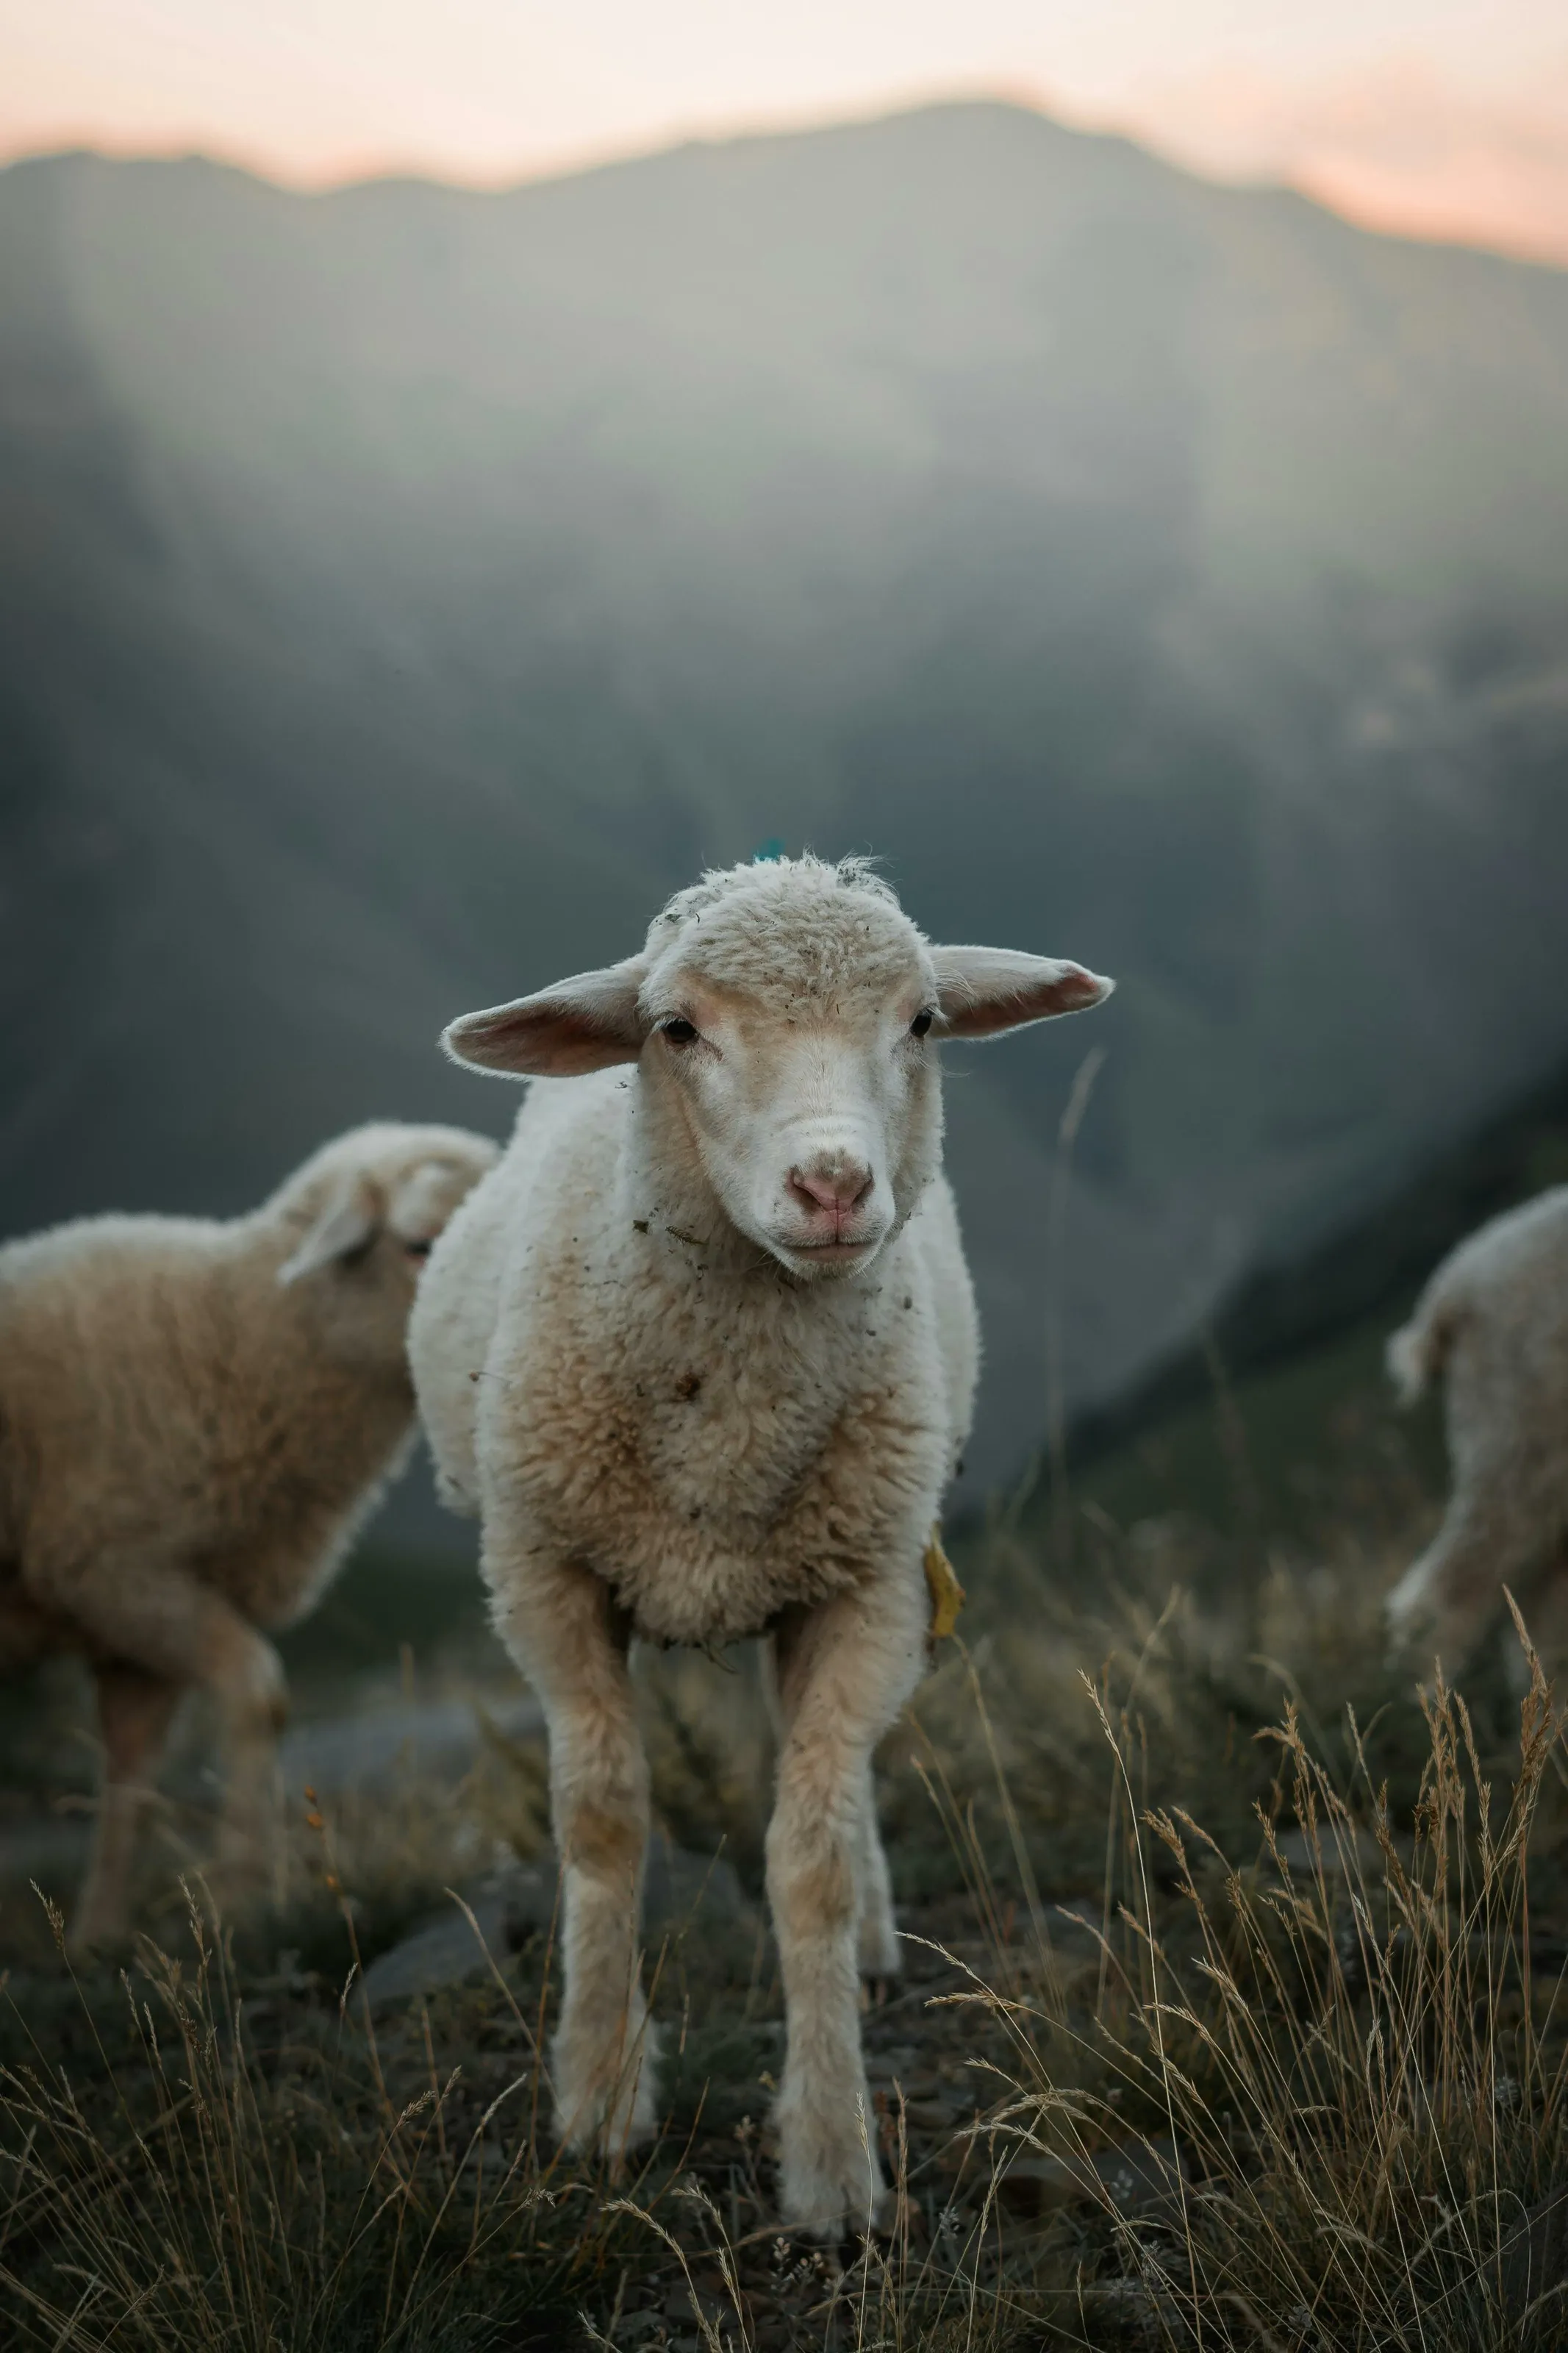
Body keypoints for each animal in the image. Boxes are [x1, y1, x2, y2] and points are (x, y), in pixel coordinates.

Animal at [0, 1120, 498, 1950]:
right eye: (418, 1244)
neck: (234, 1334)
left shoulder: (136, 1633)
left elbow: (131, 1771)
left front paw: (98, 1938)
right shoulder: (111, 1569)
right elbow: (259, 1694)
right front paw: (242, 1899)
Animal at [410, 854, 1113, 2238]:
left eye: (922, 1021)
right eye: (677, 1030)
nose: (833, 1188)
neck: (727, 1427)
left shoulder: (866, 1591)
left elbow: (811, 1863)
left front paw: (833, 2163)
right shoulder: (545, 1580)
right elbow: (602, 1828)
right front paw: (598, 2098)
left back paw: (877, 1944)